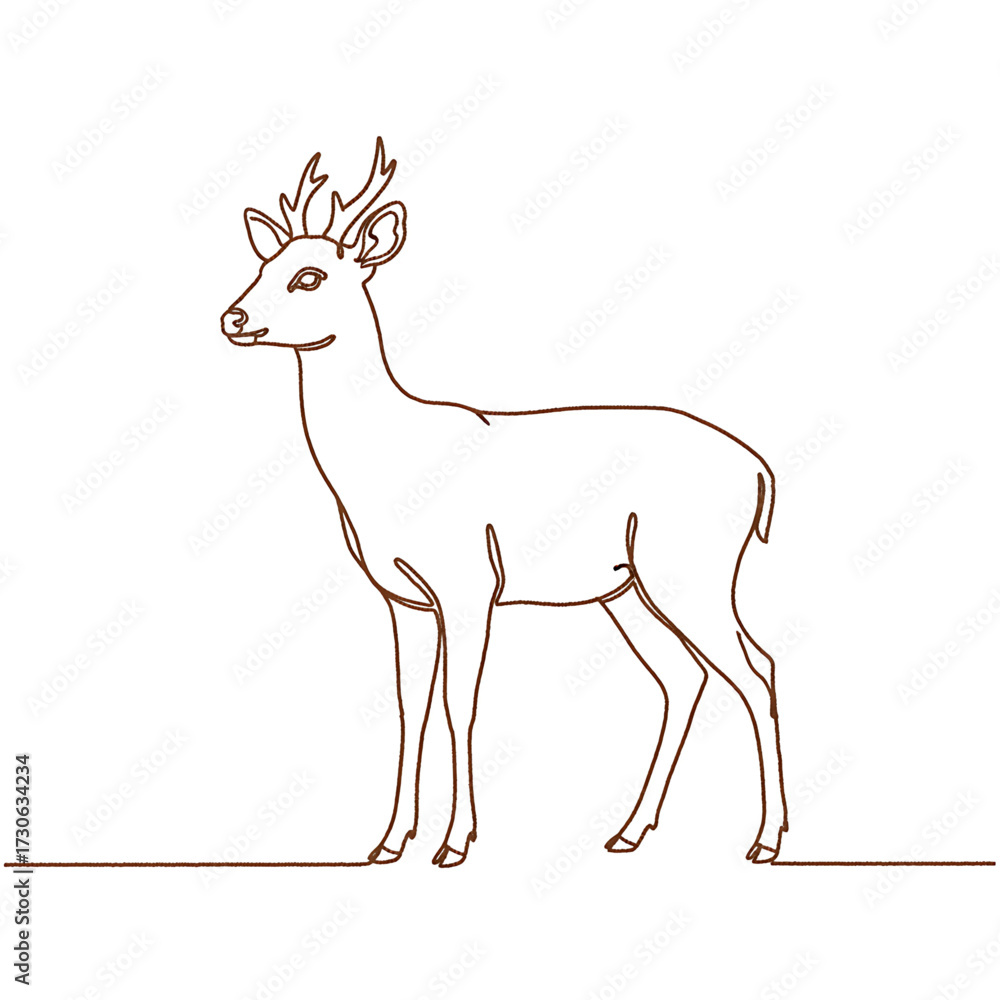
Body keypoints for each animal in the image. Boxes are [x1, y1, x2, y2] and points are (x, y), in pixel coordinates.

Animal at [219, 139, 788, 868]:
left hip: (691, 570)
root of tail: (760, 472)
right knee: (685, 677)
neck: (384, 465)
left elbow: (458, 705)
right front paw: (388, 842)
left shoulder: (469, 585)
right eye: (264, 264)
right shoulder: (403, 599)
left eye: (310, 276)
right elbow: (409, 707)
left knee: (756, 669)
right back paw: (628, 832)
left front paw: (454, 844)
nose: (233, 317)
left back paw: (765, 841)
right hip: (626, 589)